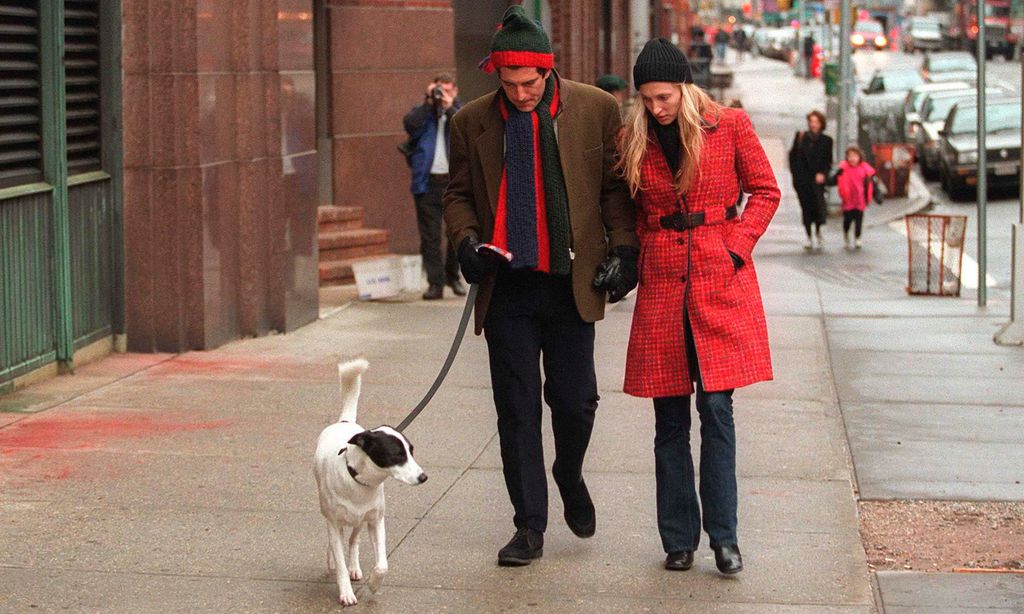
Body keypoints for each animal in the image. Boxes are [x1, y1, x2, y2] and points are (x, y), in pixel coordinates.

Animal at [311, 360, 423, 605]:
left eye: (411, 451)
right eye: (397, 455)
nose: (423, 477)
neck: (359, 481)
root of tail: (345, 422)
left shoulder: (375, 521)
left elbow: (382, 565)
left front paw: (373, 583)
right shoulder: (335, 523)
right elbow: (339, 559)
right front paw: (346, 593)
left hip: (360, 521)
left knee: (354, 540)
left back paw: (355, 567)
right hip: (331, 514)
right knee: (336, 541)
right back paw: (333, 560)